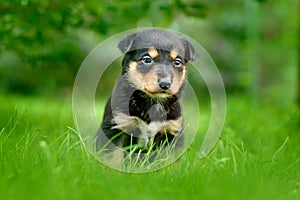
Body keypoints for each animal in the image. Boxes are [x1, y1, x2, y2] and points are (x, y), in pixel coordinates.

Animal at [96, 28, 199, 156]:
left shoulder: (172, 131)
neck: (154, 102)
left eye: (177, 62)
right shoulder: (117, 126)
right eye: (147, 59)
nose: (165, 84)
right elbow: (113, 156)